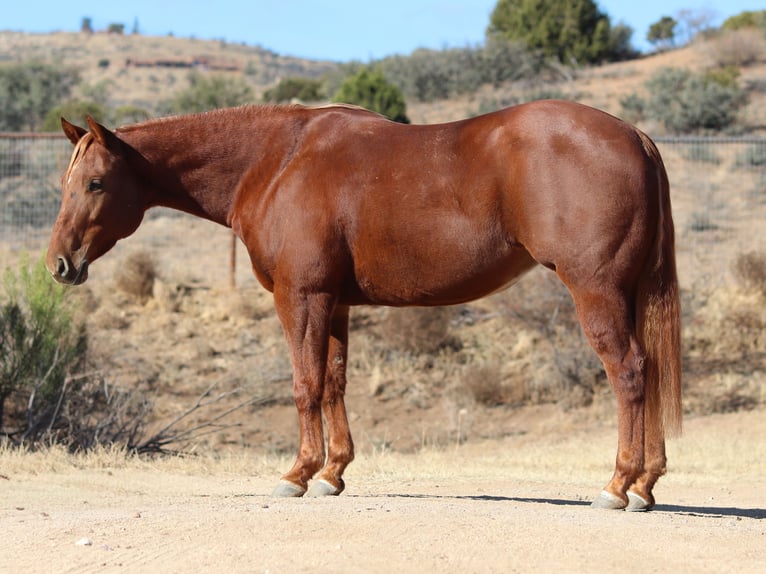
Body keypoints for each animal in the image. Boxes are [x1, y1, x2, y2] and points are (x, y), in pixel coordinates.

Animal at [48, 102, 684, 512]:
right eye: (66, 182)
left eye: (97, 183)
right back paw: (646, 486)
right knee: (650, 371)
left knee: (629, 373)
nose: (59, 264)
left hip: (596, 290)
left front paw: (297, 474)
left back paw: (618, 485)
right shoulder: (334, 303)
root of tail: (635, 136)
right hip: (627, 292)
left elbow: (304, 384)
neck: (276, 162)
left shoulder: (299, 297)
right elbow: (333, 382)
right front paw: (332, 475)